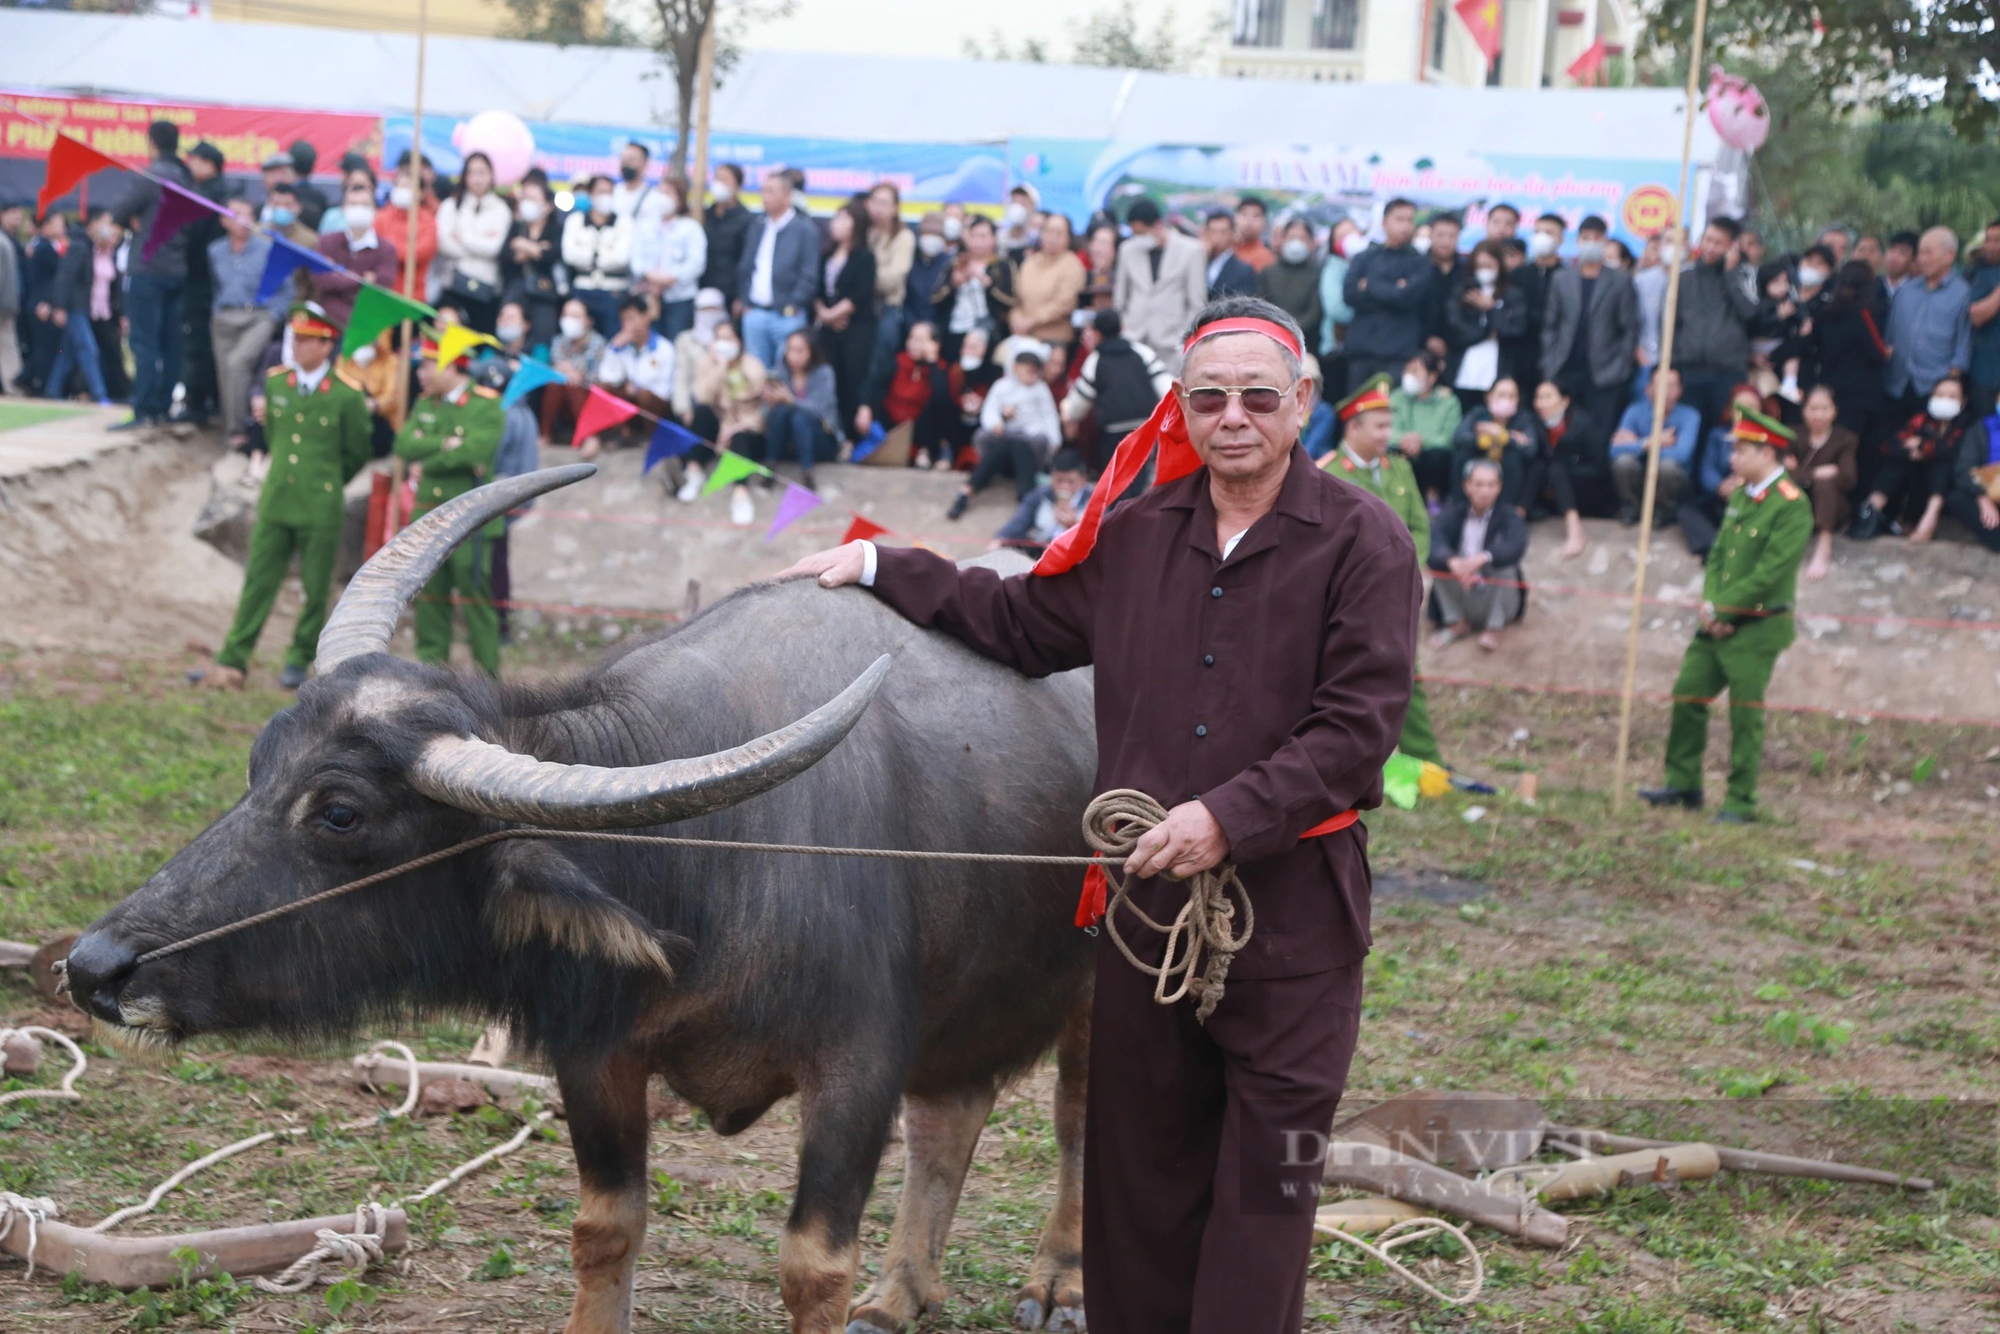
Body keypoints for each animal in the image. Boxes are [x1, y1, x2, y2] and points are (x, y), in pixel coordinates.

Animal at [66, 464, 1096, 1328]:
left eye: (342, 813)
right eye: (260, 762)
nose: (93, 967)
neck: (703, 869)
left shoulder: (856, 1066)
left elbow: (813, 1266)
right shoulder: (595, 1052)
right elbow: (604, 1226)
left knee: (1071, 1120)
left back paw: (1056, 1287)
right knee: (950, 1117)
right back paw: (900, 1294)